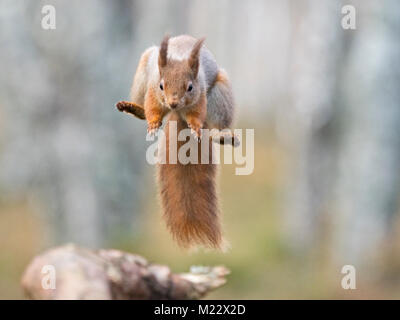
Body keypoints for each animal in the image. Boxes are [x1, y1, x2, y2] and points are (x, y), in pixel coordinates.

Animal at [116, 35, 238, 250]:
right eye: (161, 85)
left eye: (189, 87)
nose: (173, 102)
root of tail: (177, 114)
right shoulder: (152, 90)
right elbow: (152, 108)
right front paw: (153, 124)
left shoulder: (200, 95)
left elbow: (197, 114)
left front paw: (196, 127)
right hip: (141, 76)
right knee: (142, 109)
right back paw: (133, 108)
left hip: (221, 95)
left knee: (216, 126)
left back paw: (220, 135)